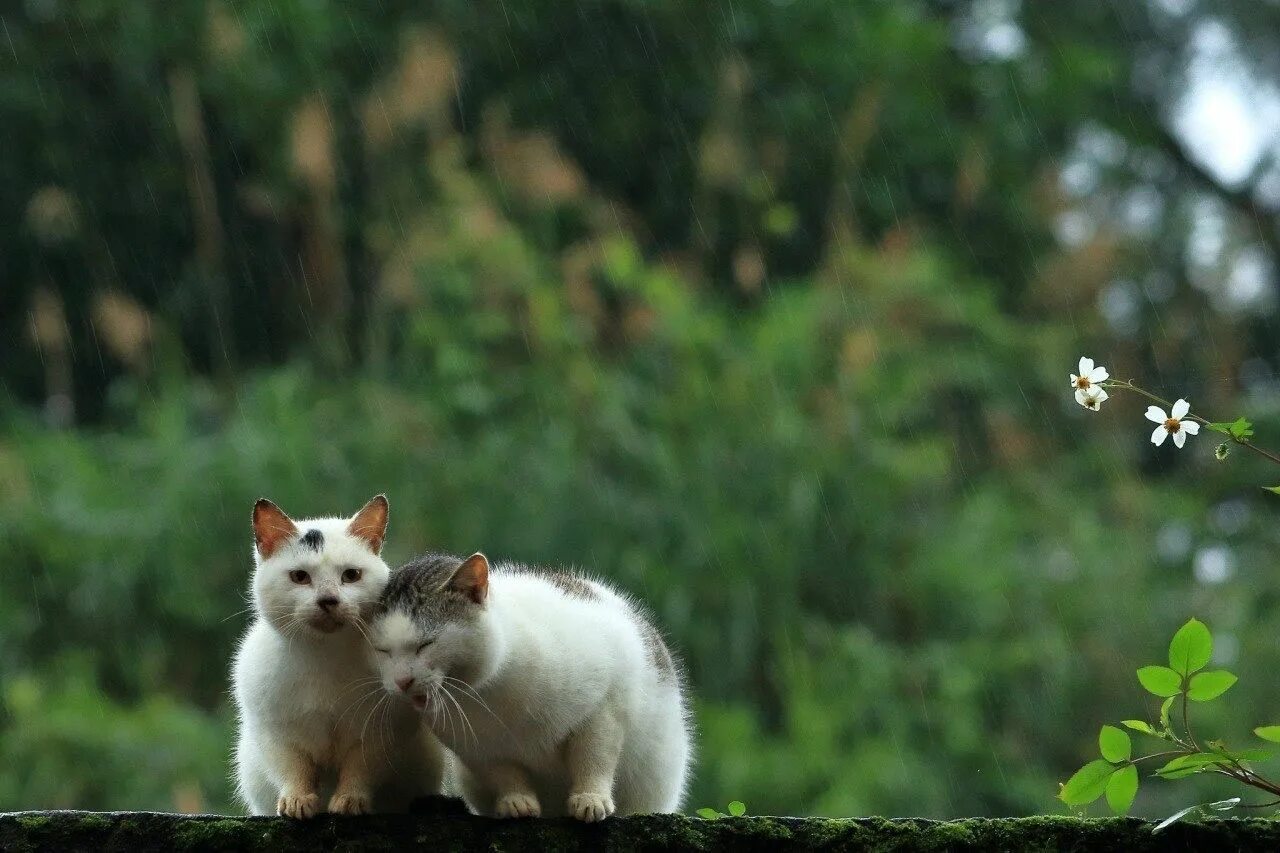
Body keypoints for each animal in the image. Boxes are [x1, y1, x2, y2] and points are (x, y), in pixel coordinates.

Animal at [230, 494, 445, 814]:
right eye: (299, 576)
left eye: (351, 575)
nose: (328, 600)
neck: (325, 656)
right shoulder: (275, 732)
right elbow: (293, 767)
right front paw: (296, 799)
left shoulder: (379, 732)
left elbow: (360, 768)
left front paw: (349, 800)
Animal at [366, 548, 696, 819]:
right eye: (381, 651)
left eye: (426, 644)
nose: (402, 681)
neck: (487, 694)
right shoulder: (481, 752)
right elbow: (506, 775)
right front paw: (517, 802)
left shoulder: (604, 711)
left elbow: (593, 759)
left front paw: (590, 799)